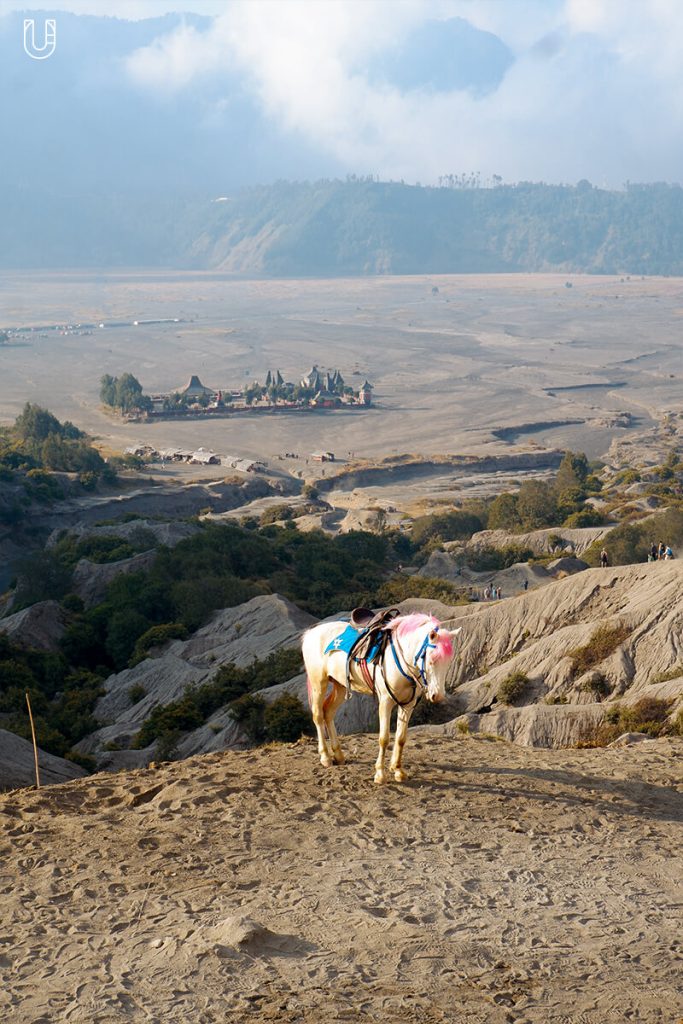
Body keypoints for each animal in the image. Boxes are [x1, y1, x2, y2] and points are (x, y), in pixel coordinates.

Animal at [301, 614, 462, 782]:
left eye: (448, 662)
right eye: (431, 660)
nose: (438, 695)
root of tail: (311, 633)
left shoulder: (408, 705)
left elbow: (401, 738)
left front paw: (398, 770)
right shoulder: (386, 702)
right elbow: (384, 738)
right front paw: (380, 774)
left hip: (340, 685)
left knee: (328, 712)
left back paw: (338, 755)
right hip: (319, 684)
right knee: (318, 715)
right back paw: (325, 757)